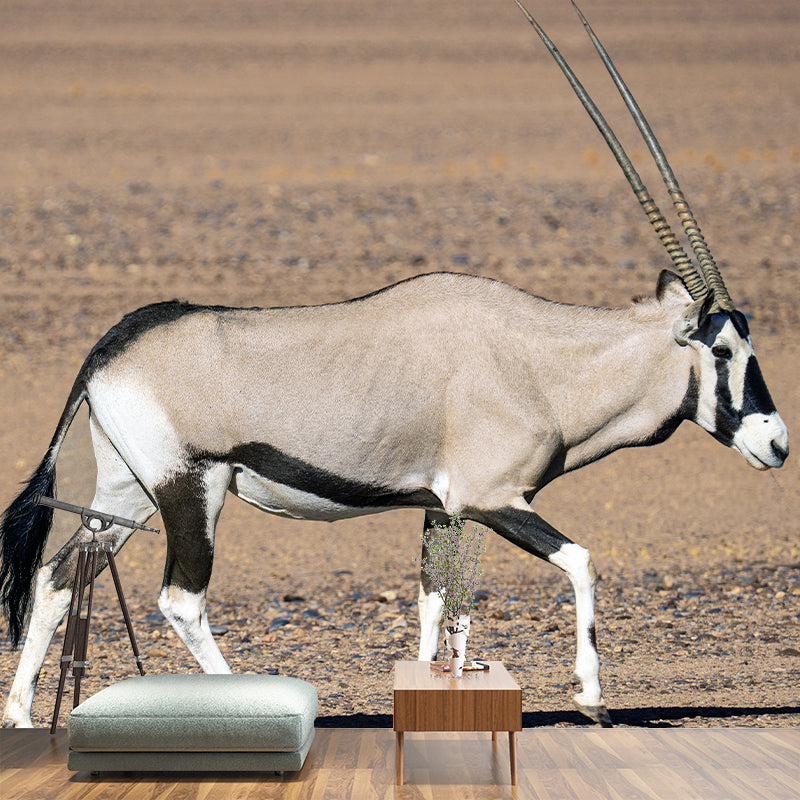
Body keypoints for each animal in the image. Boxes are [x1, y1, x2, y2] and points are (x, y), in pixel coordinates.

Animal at [1, 0, 788, 728]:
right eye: (723, 350)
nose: (777, 442)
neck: (540, 364)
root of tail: (114, 344)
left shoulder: (440, 508)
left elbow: (436, 609)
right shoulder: (494, 497)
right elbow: (582, 562)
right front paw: (591, 696)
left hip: (128, 492)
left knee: (57, 578)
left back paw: (21, 717)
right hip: (191, 490)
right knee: (180, 600)